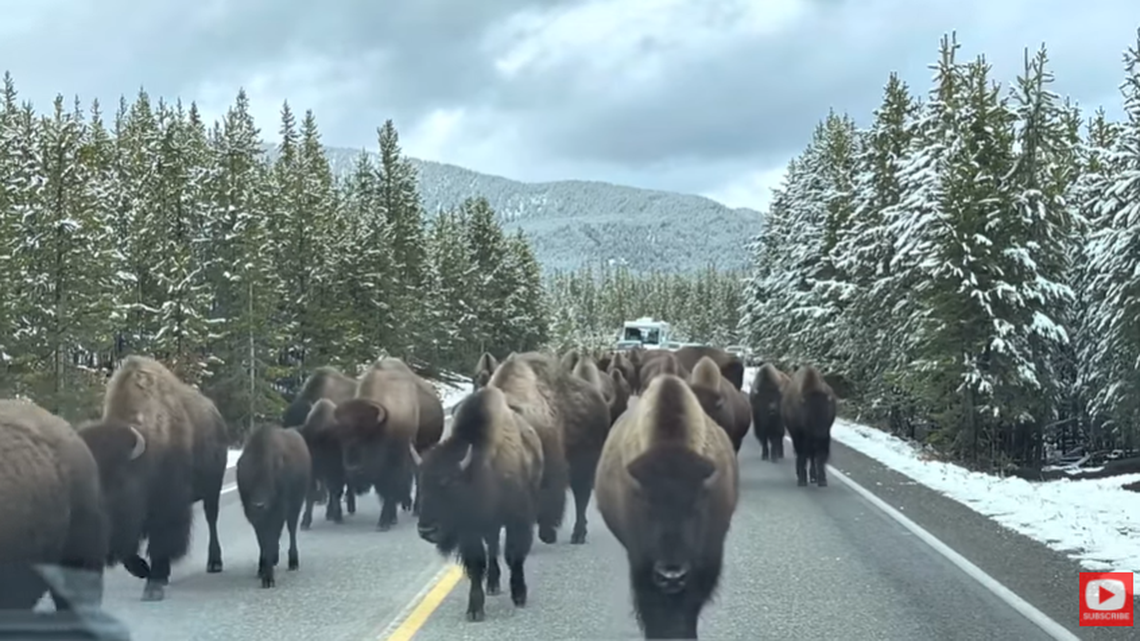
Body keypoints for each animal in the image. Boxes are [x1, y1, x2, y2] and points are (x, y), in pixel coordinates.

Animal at [78, 355, 227, 601]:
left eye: (116, 480)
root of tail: (216, 416)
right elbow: (129, 552)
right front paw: (144, 571)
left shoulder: (167, 507)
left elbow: (161, 542)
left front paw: (154, 583)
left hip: (213, 488)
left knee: (212, 519)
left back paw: (214, 563)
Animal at [236, 425, 311, 588]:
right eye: (246, 477)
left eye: (271, 474)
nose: (259, 505)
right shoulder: (256, 519)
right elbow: (263, 542)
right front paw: (262, 568)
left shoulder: (278, 513)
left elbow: (270, 540)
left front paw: (268, 578)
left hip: (295, 507)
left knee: (291, 530)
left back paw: (293, 562)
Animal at [412, 386, 544, 622]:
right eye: (422, 484)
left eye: (451, 484)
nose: (427, 530)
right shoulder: (470, 530)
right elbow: (475, 564)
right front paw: (474, 610)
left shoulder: (517, 520)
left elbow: (514, 556)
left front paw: (519, 595)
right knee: (491, 548)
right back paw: (492, 584)